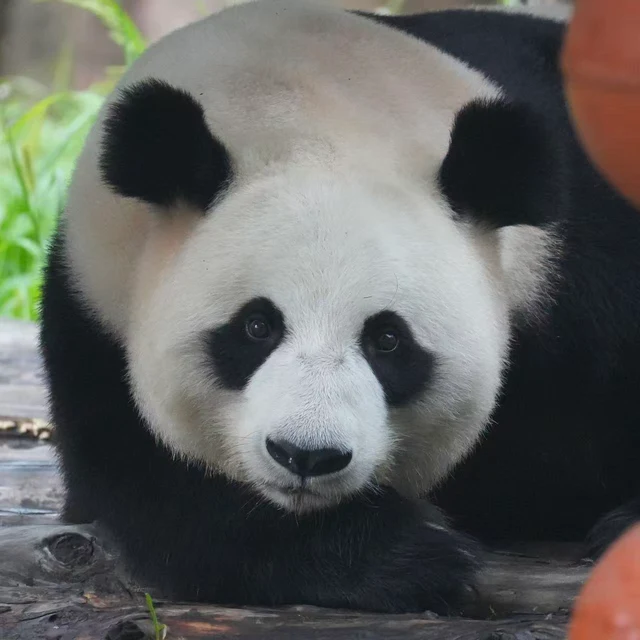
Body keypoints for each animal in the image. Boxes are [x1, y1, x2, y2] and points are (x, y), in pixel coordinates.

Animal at [39, 0, 640, 615]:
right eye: (257, 326)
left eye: (388, 340)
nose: (306, 456)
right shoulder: (94, 304)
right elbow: (152, 492)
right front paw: (406, 552)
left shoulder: (581, 262)